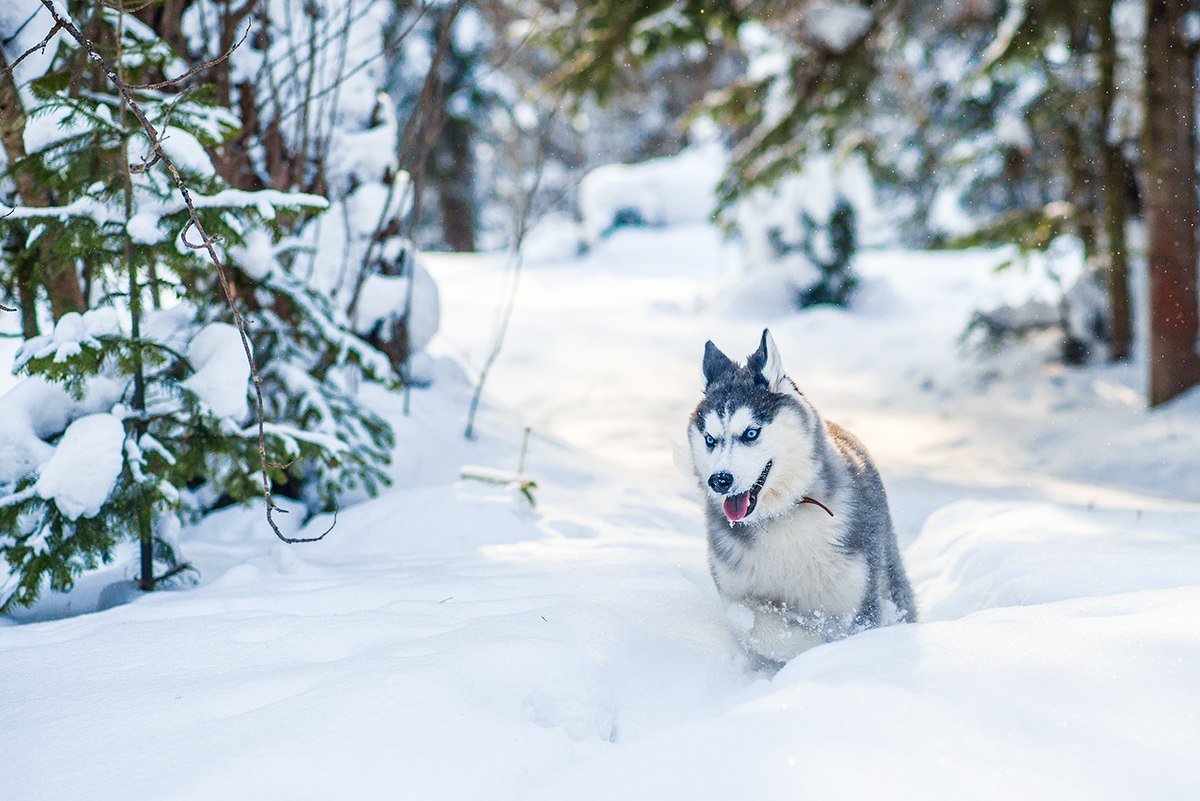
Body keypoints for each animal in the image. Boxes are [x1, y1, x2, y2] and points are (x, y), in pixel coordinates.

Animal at [691, 328, 912, 661]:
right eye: (709, 439)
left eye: (751, 433)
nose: (719, 480)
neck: (782, 516)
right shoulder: (736, 588)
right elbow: (750, 620)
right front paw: (810, 642)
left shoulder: (857, 599)